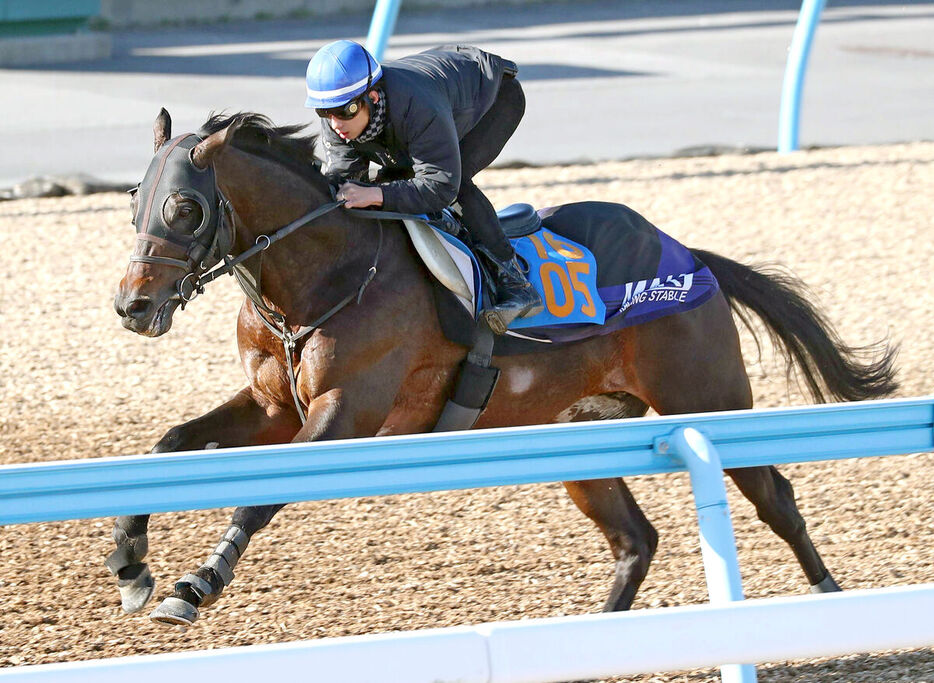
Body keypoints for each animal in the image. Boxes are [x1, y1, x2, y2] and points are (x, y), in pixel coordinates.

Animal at [111, 109, 900, 628]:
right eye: (134, 200)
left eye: (184, 207)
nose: (132, 304)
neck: (323, 271)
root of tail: (690, 254)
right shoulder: (274, 407)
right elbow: (169, 446)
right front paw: (131, 564)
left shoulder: (348, 410)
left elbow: (260, 496)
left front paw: (195, 583)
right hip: (580, 432)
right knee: (635, 540)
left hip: (707, 396)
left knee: (776, 498)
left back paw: (832, 598)